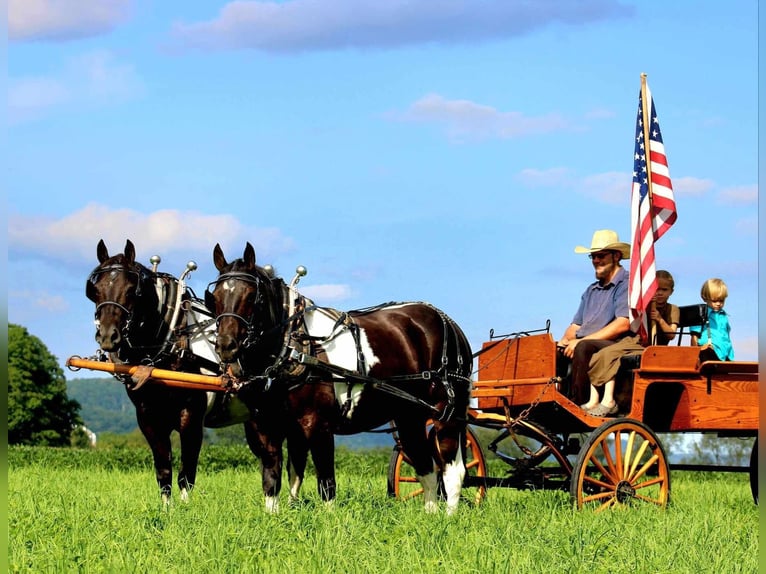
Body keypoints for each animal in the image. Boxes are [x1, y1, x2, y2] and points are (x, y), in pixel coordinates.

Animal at [88, 238, 249, 504]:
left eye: (132, 290)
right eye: (95, 289)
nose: (108, 336)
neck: (171, 345)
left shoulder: (191, 416)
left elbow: (187, 470)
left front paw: (185, 509)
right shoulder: (148, 417)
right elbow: (163, 468)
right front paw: (166, 508)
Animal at [208, 241, 474, 516]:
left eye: (252, 296)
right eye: (214, 297)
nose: (226, 346)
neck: (294, 347)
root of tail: (449, 324)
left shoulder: (318, 426)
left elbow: (326, 484)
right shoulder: (265, 427)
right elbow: (271, 481)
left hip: (446, 412)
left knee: (452, 470)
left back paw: (448, 517)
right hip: (409, 416)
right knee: (426, 468)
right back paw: (430, 515)